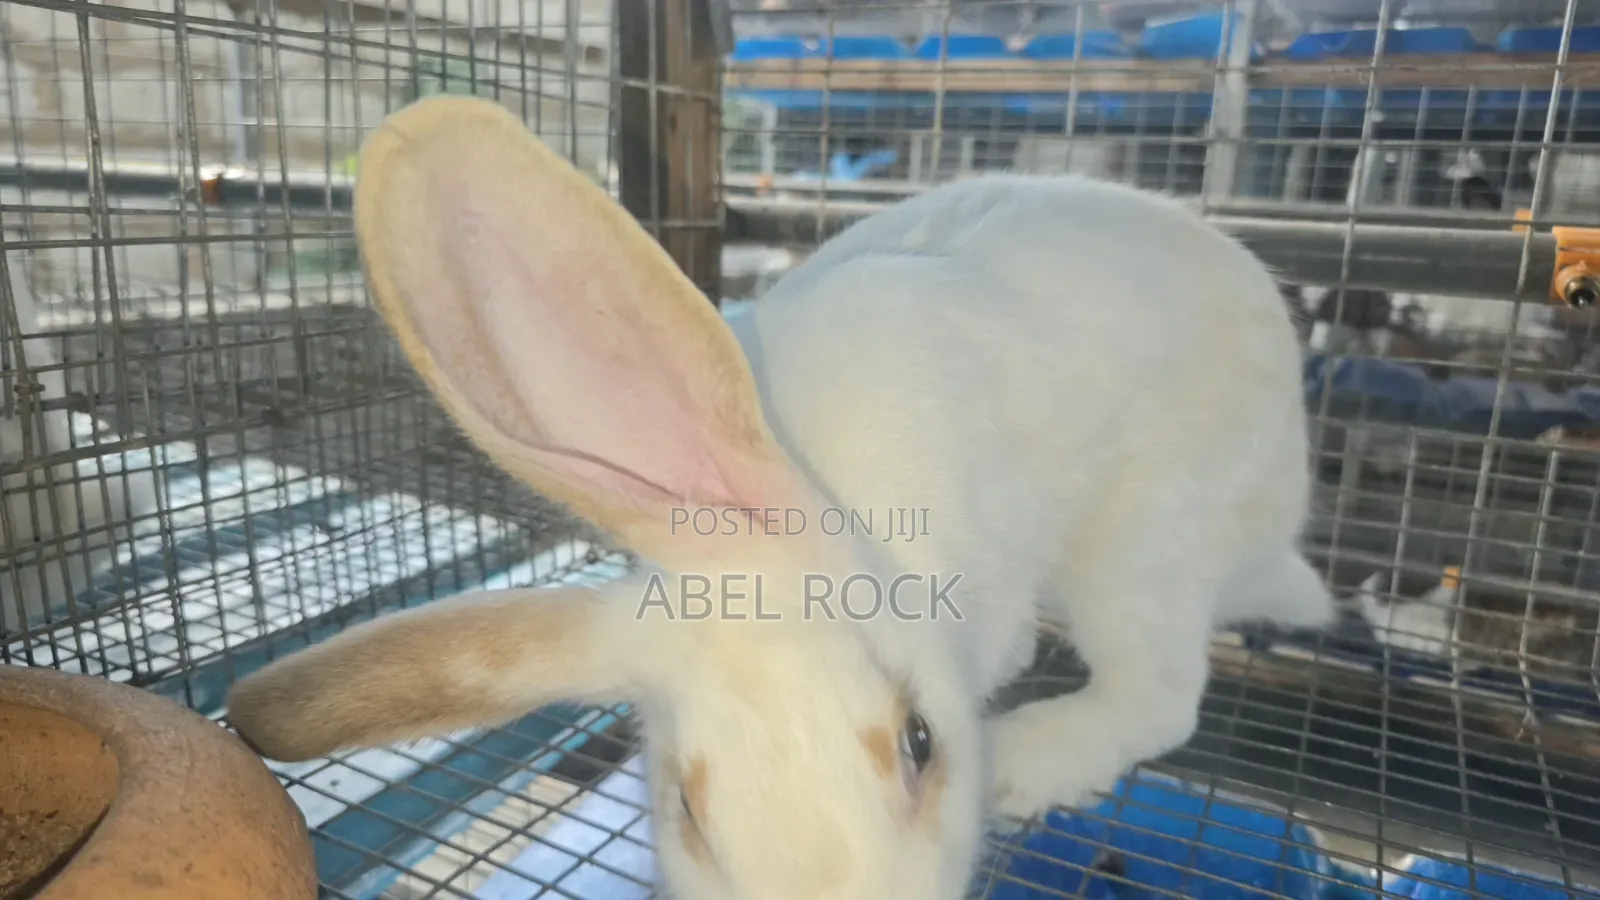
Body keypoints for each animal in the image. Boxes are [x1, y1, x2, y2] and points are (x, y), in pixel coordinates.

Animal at [225, 96, 1336, 900]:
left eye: (919, 742)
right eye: (683, 808)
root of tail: (1284, 516)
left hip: (1145, 537)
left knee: (1159, 692)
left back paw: (1030, 758)